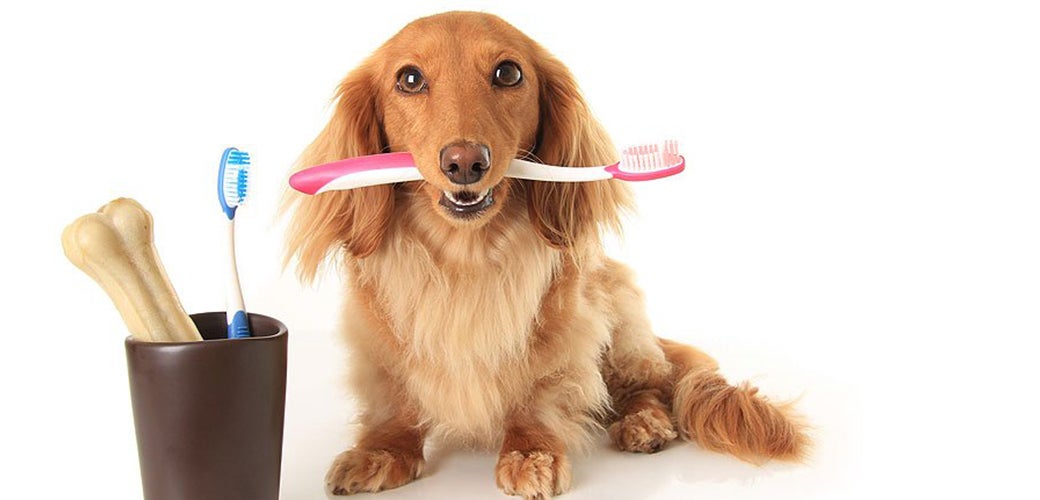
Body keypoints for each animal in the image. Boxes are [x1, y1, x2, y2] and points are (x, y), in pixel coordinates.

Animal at [284, 9, 811, 496]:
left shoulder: (561, 329)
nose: (465, 163)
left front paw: (530, 452)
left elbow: (536, 393)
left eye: (508, 73)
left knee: (647, 385)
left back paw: (644, 423)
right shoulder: (381, 339)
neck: (466, 256)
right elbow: (396, 400)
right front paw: (382, 451)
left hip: (619, 322)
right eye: (409, 79)